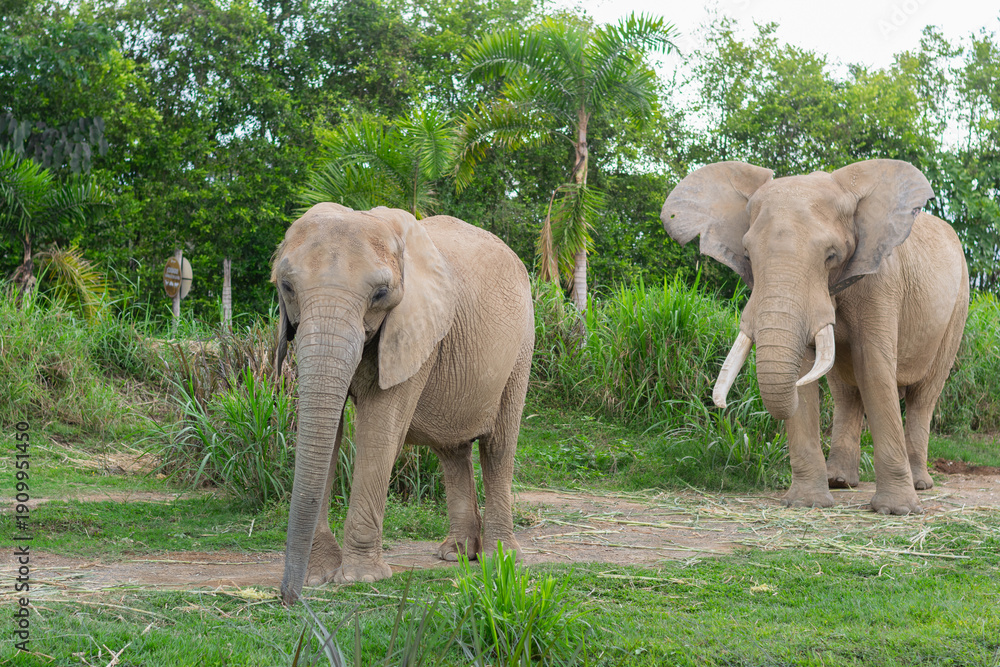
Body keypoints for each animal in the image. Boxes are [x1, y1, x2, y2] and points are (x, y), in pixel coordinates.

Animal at [272, 203, 534, 605]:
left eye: (381, 293)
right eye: (286, 286)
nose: (288, 598)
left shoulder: (415, 330)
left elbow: (379, 431)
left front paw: (361, 578)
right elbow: (329, 432)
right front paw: (320, 576)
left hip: (522, 347)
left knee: (498, 446)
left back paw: (499, 558)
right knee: (453, 452)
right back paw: (455, 554)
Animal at [661, 159, 968, 515]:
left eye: (831, 256)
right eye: (748, 256)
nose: (722, 406)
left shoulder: (882, 280)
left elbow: (875, 369)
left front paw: (897, 511)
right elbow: (810, 374)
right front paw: (806, 503)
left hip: (957, 310)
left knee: (923, 395)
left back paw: (920, 485)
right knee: (846, 393)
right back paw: (840, 481)